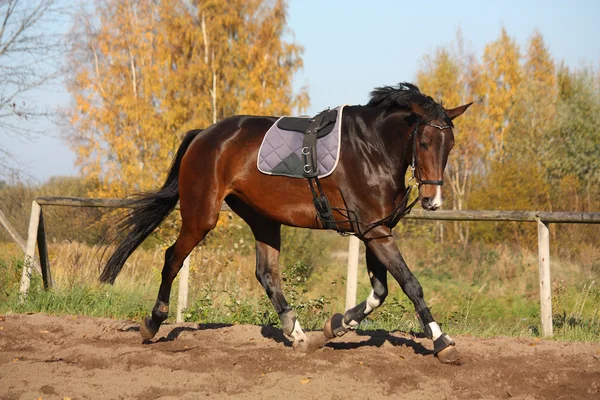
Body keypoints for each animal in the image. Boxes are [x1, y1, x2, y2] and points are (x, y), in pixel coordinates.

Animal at [101, 83, 472, 364]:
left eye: (450, 145)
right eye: (423, 142)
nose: (432, 201)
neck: (373, 147)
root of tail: (204, 134)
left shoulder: (374, 230)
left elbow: (379, 293)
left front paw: (335, 326)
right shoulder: (375, 231)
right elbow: (410, 284)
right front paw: (442, 342)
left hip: (262, 219)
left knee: (267, 274)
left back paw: (297, 334)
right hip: (201, 216)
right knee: (172, 259)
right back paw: (152, 323)